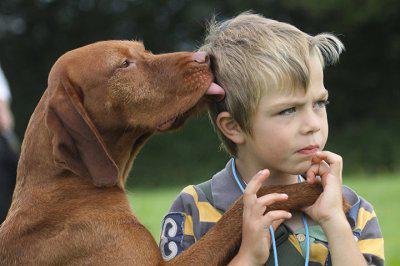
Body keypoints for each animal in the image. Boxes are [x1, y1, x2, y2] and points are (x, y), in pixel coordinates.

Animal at [0, 40, 328, 264]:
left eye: (143, 50)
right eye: (124, 65)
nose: (205, 57)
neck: (71, 185)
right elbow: (241, 209)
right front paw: (305, 190)